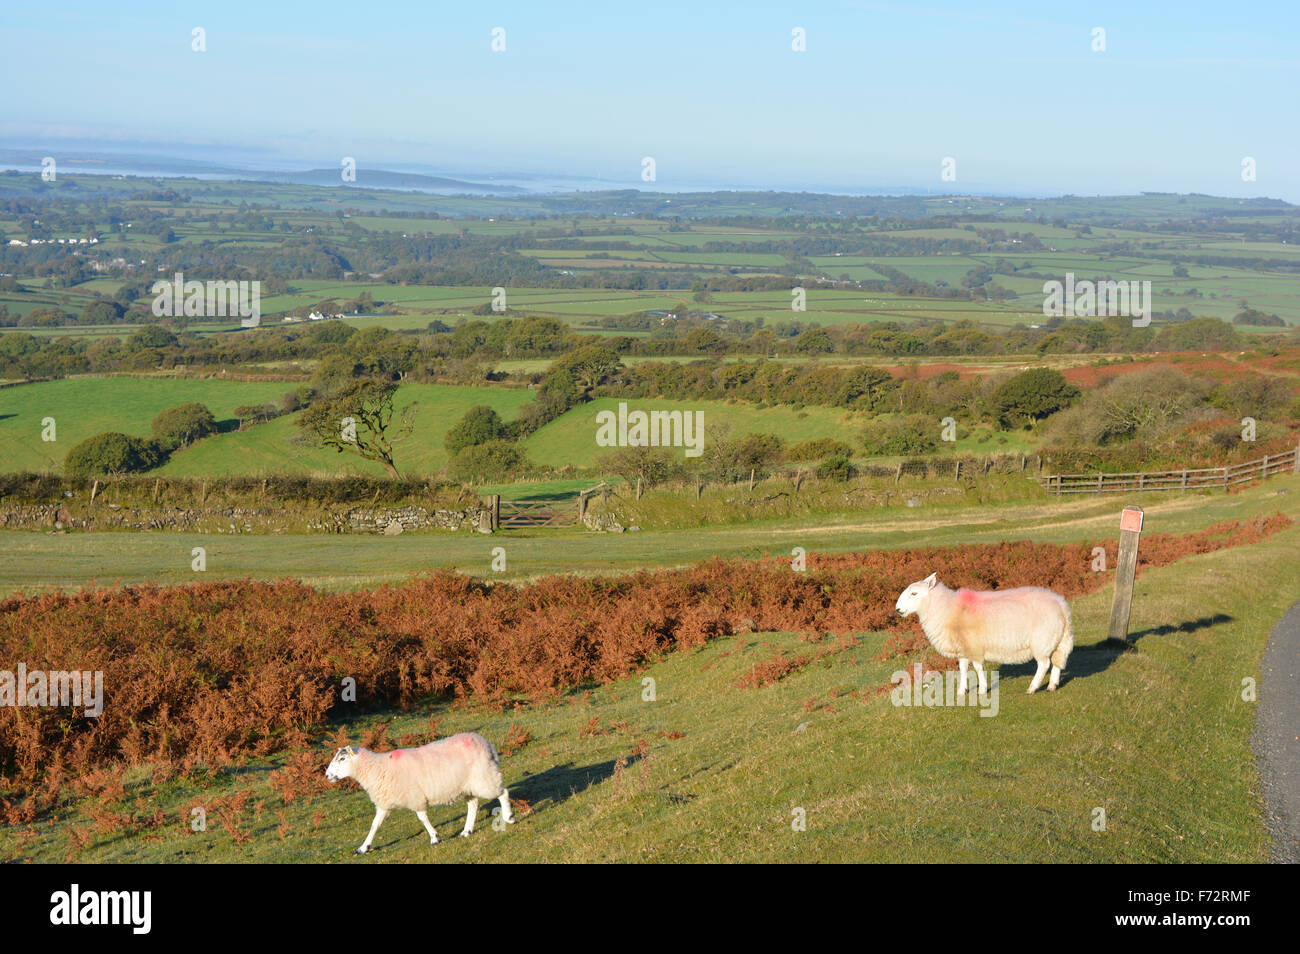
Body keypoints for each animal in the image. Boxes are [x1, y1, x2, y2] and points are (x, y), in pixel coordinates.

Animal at [322, 733, 514, 857]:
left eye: (342, 759)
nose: (327, 775)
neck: (377, 768)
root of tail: (487, 743)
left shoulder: (415, 797)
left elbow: (422, 818)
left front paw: (434, 838)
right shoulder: (384, 804)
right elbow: (374, 825)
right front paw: (363, 847)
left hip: (484, 777)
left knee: (502, 792)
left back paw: (509, 817)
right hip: (467, 785)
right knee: (473, 805)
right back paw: (466, 831)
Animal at [894, 571, 1076, 696]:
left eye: (914, 593)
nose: (898, 610)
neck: (947, 609)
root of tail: (1060, 604)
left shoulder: (974, 645)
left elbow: (977, 667)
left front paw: (981, 689)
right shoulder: (963, 647)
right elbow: (963, 668)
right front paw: (962, 690)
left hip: (1041, 640)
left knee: (1044, 664)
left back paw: (1032, 687)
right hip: (1057, 639)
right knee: (1057, 661)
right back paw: (1052, 685)